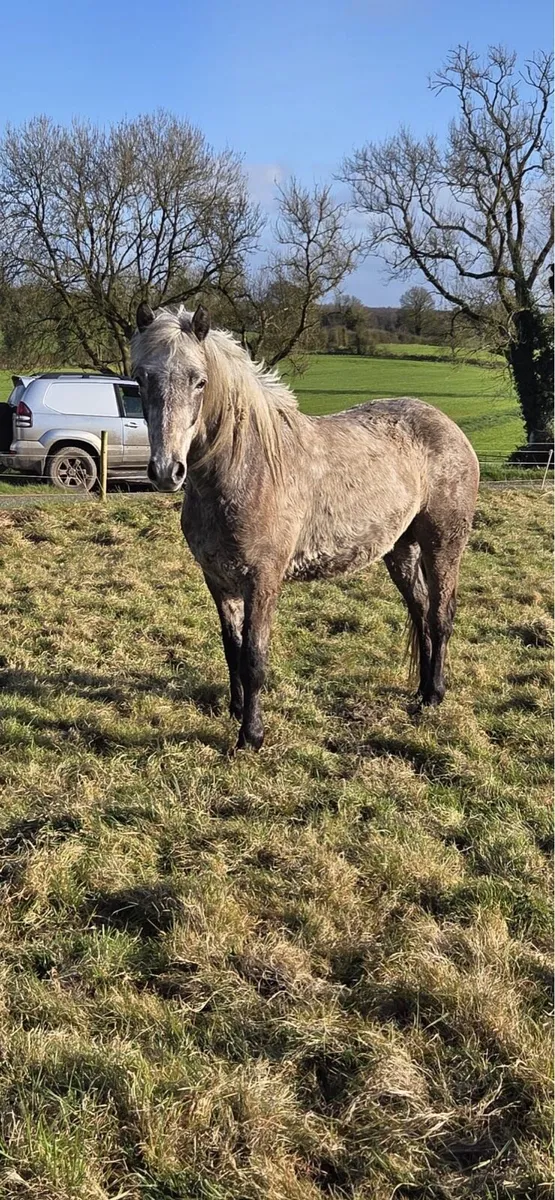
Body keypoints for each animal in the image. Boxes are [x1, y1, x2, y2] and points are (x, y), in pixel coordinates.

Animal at [131, 302, 479, 752]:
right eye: (141, 378)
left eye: (199, 381)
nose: (165, 471)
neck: (248, 469)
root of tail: (447, 425)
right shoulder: (219, 580)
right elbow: (232, 649)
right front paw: (236, 711)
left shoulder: (262, 581)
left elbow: (254, 658)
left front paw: (251, 736)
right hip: (401, 550)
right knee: (420, 612)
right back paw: (419, 693)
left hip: (443, 545)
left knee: (440, 616)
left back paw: (434, 695)